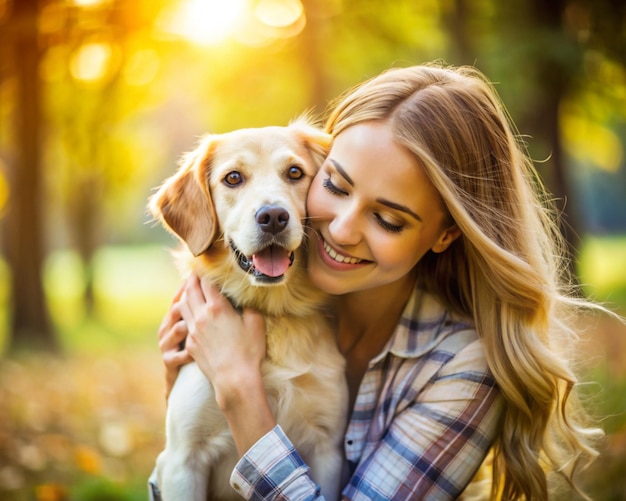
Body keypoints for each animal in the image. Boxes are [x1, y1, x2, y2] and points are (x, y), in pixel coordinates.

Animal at [149, 122, 348, 500]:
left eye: (295, 172)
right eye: (233, 178)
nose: (273, 217)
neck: (269, 312)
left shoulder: (327, 448)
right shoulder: (182, 459)